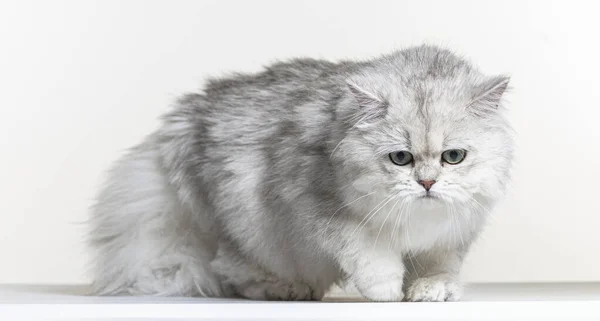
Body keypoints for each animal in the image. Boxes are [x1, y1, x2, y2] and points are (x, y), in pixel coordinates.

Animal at [88, 45, 510, 300]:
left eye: (453, 157)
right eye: (400, 159)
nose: (426, 183)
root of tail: (184, 121)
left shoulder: (452, 234)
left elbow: (440, 268)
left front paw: (431, 291)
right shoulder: (321, 209)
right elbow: (370, 257)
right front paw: (387, 291)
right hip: (244, 220)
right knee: (228, 268)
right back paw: (288, 288)